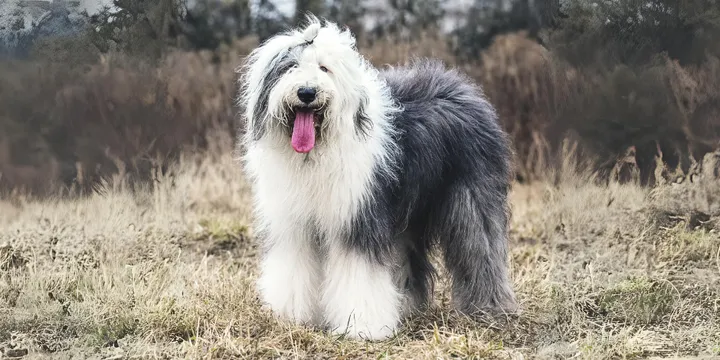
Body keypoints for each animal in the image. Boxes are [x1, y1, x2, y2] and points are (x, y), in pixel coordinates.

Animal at [238, 14, 516, 340]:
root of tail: (463, 87)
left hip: (470, 196)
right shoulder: (295, 224)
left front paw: (361, 326)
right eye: (290, 67)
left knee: (481, 246)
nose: (307, 92)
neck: (316, 152)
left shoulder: (359, 216)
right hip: (408, 211)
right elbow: (293, 266)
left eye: (324, 68)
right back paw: (406, 305)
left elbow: (359, 273)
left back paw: (490, 308)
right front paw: (291, 317)